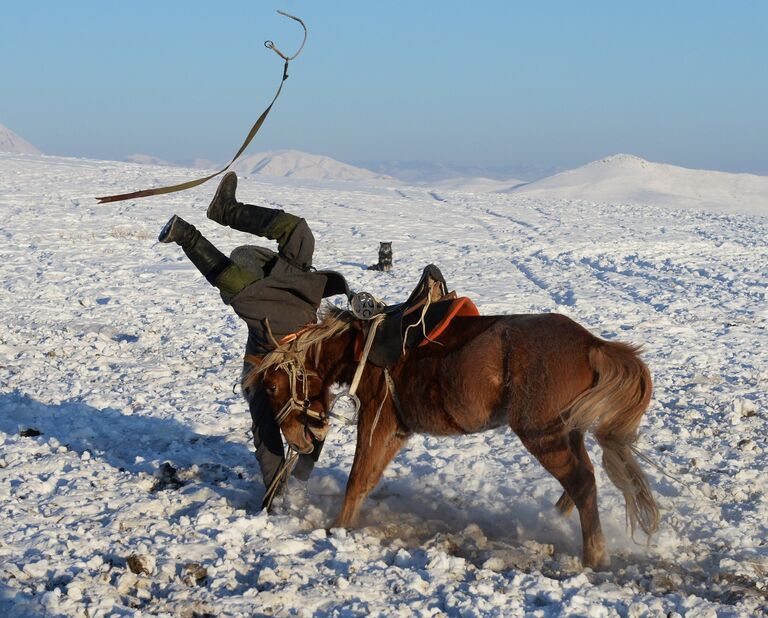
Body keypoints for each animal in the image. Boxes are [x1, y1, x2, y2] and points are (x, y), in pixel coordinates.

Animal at [248, 306, 660, 572]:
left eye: (271, 386)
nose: (299, 440)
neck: (361, 349)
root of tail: (592, 344)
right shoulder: (397, 430)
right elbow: (367, 479)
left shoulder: (377, 421)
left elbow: (357, 479)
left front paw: (338, 528)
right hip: (566, 432)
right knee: (581, 481)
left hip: (543, 435)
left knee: (583, 482)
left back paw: (594, 556)